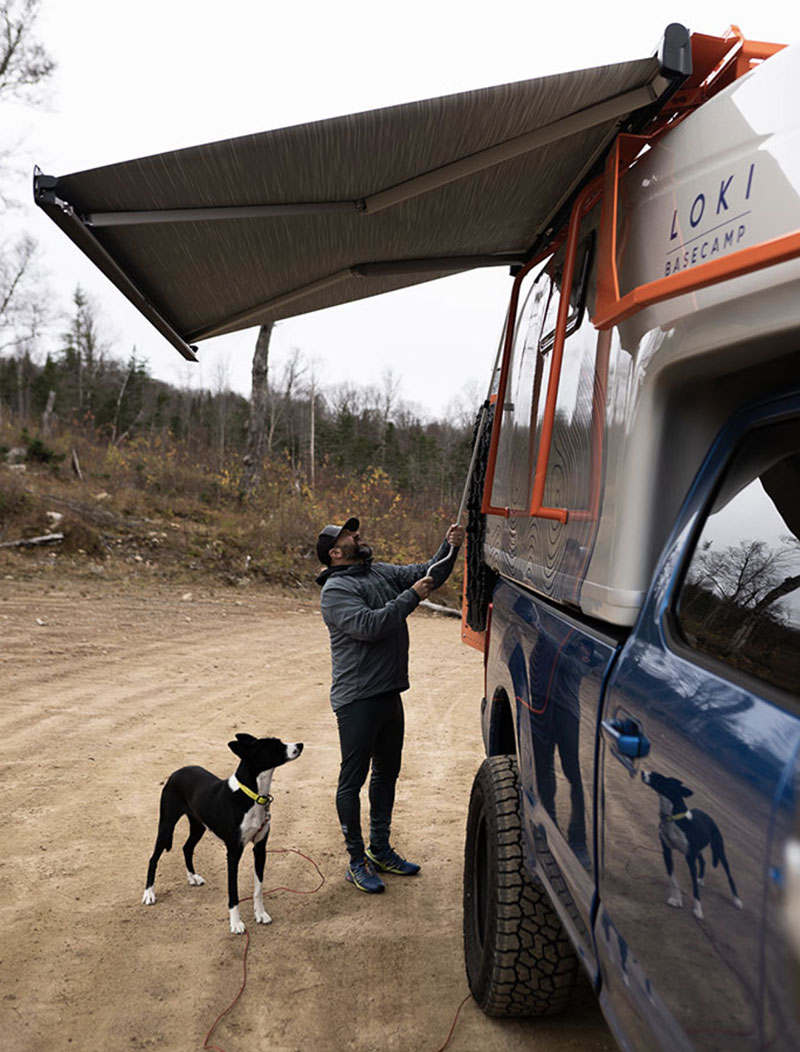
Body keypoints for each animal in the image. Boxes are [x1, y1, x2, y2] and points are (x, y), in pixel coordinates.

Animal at [141, 736, 303, 934]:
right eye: (274, 745)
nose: (300, 745)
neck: (252, 796)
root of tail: (177, 772)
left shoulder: (260, 848)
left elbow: (258, 887)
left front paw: (260, 914)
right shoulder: (233, 853)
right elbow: (233, 891)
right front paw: (236, 923)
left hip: (198, 826)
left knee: (187, 847)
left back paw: (192, 877)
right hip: (166, 825)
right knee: (153, 858)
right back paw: (149, 893)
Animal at [640, 770, 741, 917]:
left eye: (659, 778)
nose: (642, 772)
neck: (673, 819)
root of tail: (709, 817)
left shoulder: (690, 858)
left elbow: (694, 887)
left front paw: (698, 910)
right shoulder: (667, 851)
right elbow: (673, 878)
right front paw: (676, 899)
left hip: (719, 850)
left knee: (729, 875)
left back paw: (737, 900)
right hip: (698, 850)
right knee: (703, 861)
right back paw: (701, 879)